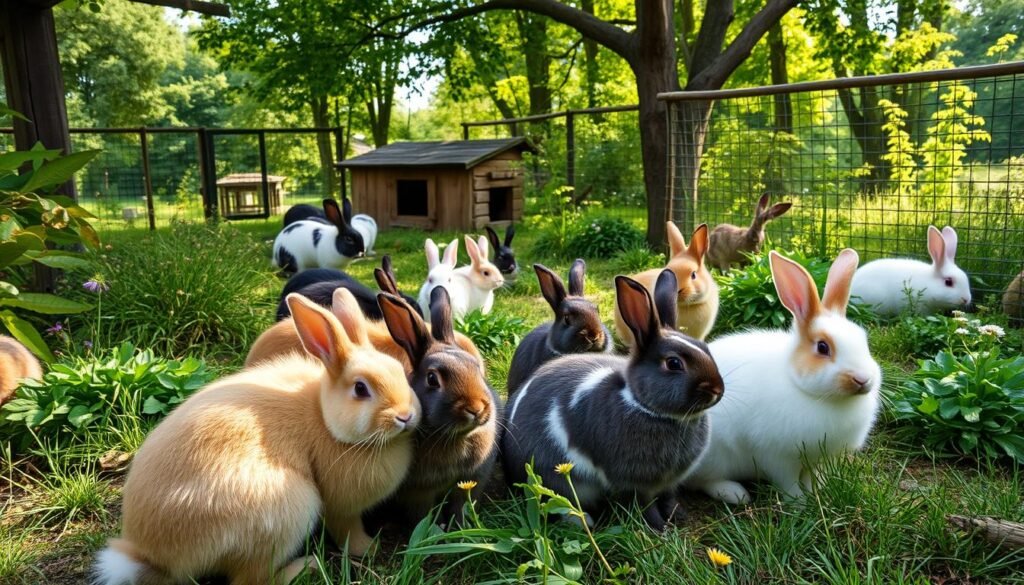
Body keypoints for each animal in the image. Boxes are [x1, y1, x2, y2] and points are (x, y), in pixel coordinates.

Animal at [93, 290, 419, 585]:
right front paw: (369, 548)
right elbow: (348, 530)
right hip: (289, 509)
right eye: (361, 389)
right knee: (251, 578)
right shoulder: (341, 507)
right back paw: (306, 566)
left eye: (401, 372)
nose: (406, 415)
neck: (324, 419)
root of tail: (151, 556)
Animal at [364, 286, 501, 531]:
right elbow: (422, 514)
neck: (454, 437)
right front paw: (434, 531)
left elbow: (461, 505)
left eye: (476, 368)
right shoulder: (418, 492)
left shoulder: (471, 480)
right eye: (432, 379)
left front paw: (461, 527)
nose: (476, 409)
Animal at [684, 249, 882, 505]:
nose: (863, 379)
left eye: (863, 340)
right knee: (701, 482)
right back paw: (736, 494)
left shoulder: (817, 460)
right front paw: (799, 502)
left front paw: (817, 493)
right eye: (823, 347)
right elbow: (788, 481)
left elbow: (812, 477)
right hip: (713, 458)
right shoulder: (777, 456)